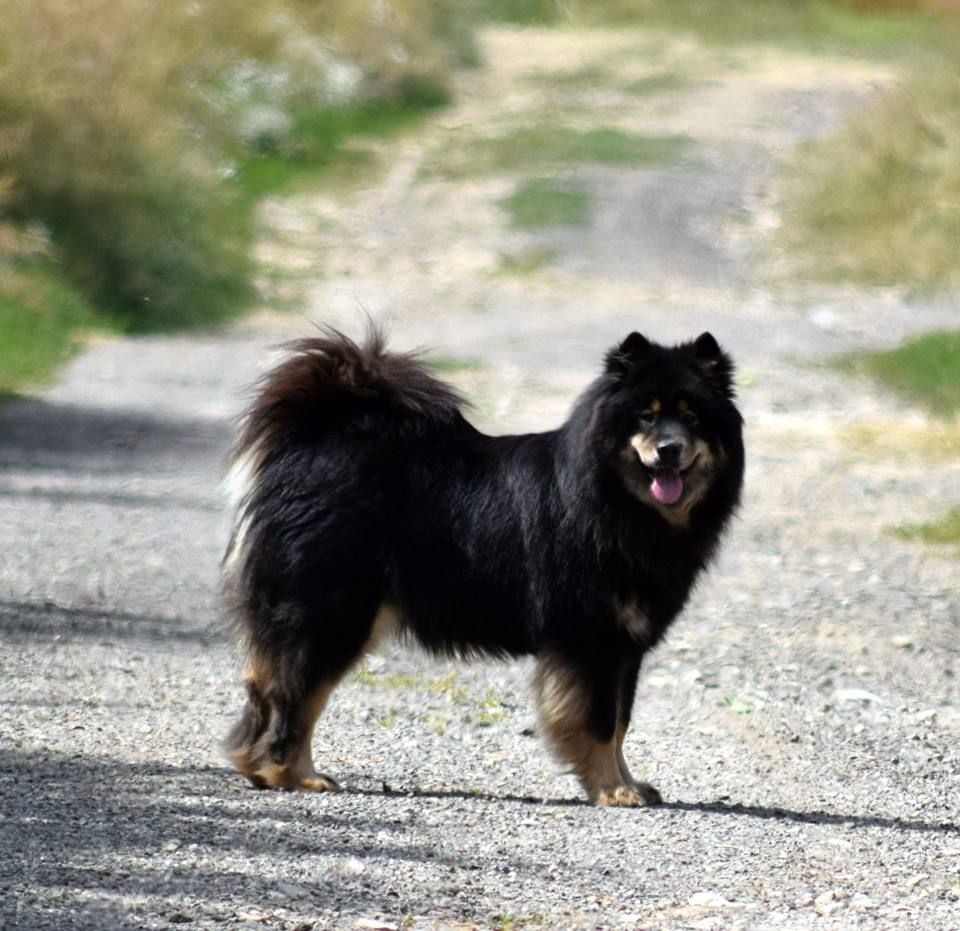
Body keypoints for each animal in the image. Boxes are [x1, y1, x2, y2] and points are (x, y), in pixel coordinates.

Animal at [223, 327, 744, 806]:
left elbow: (619, 723)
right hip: (333, 616)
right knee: (292, 695)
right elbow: (598, 725)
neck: (618, 503)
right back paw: (291, 775)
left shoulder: (624, 646)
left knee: (272, 689)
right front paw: (613, 791)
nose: (669, 448)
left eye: (692, 417)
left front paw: (628, 783)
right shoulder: (589, 640)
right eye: (645, 416)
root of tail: (309, 444)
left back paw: (266, 769)